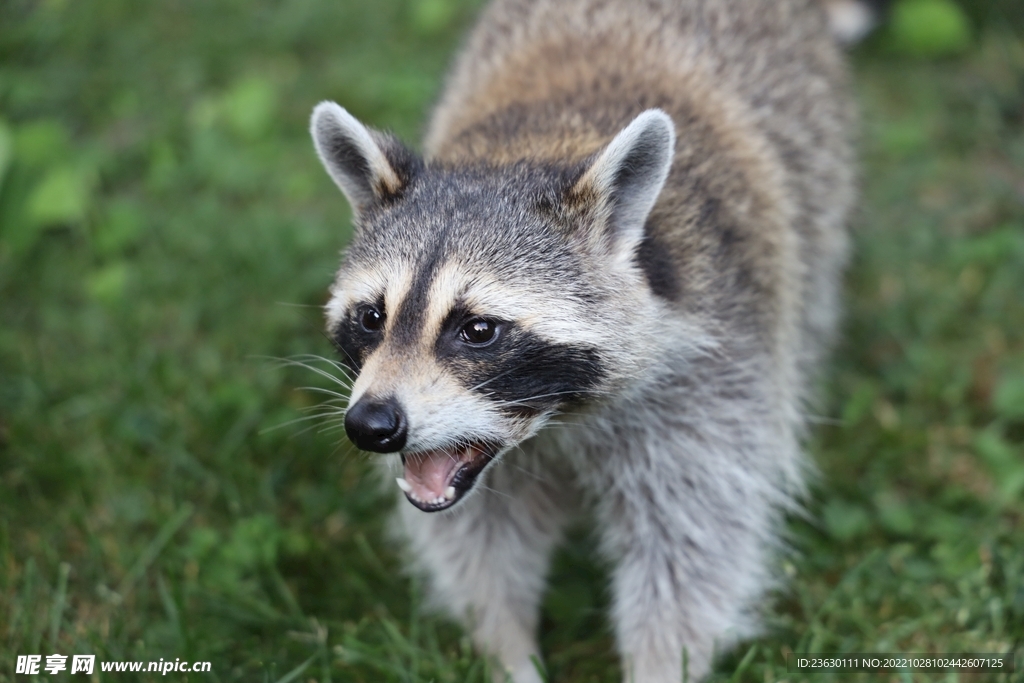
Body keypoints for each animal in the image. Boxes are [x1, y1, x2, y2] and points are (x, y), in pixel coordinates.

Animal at [309, 1, 856, 683]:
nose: (372, 425)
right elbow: (480, 543)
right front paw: (506, 649)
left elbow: (694, 542)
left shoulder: (717, 366)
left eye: (478, 330)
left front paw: (660, 664)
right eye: (372, 318)